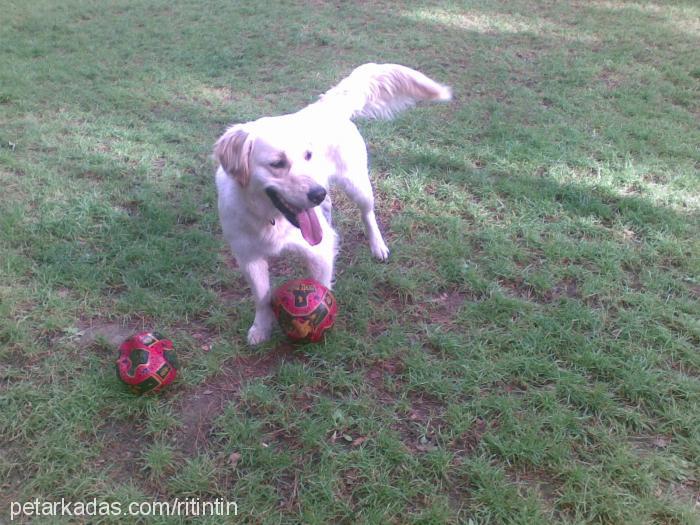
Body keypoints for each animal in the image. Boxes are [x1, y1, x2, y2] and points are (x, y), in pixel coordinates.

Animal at [216, 62, 452, 344]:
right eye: (277, 163)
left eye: (308, 155)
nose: (316, 194)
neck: (270, 218)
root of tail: (325, 106)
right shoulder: (248, 256)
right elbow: (262, 297)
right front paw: (261, 328)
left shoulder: (319, 250)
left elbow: (321, 288)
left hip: (357, 184)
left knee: (368, 214)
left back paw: (378, 245)